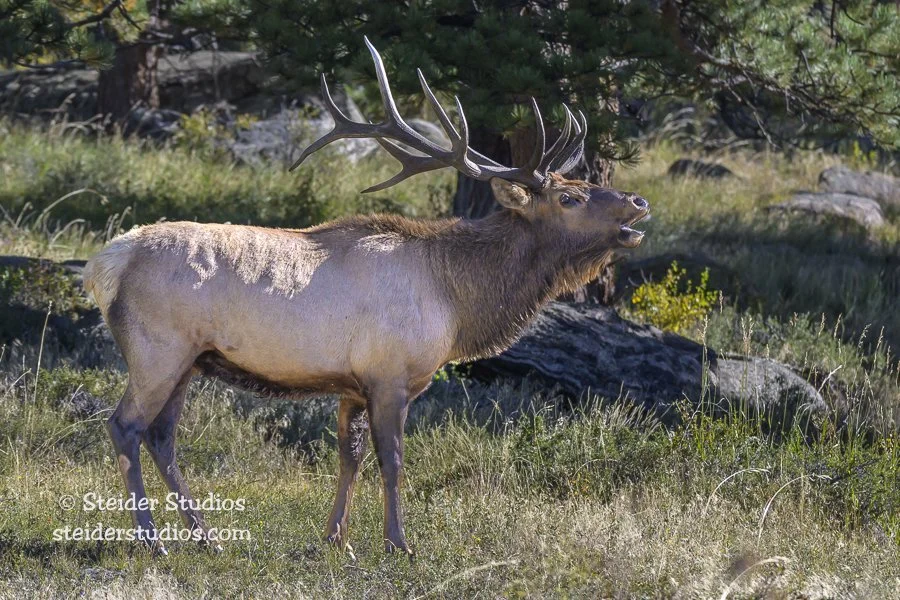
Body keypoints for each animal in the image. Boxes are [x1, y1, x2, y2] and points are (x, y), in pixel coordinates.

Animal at [82, 37, 650, 558]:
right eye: (569, 197)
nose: (638, 201)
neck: (457, 303)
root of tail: (105, 263)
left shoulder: (352, 384)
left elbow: (348, 457)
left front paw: (336, 538)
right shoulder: (390, 374)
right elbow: (392, 460)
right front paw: (398, 542)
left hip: (191, 360)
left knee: (162, 436)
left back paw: (205, 536)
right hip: (158, 350)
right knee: (125, 426)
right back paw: (152, 539)